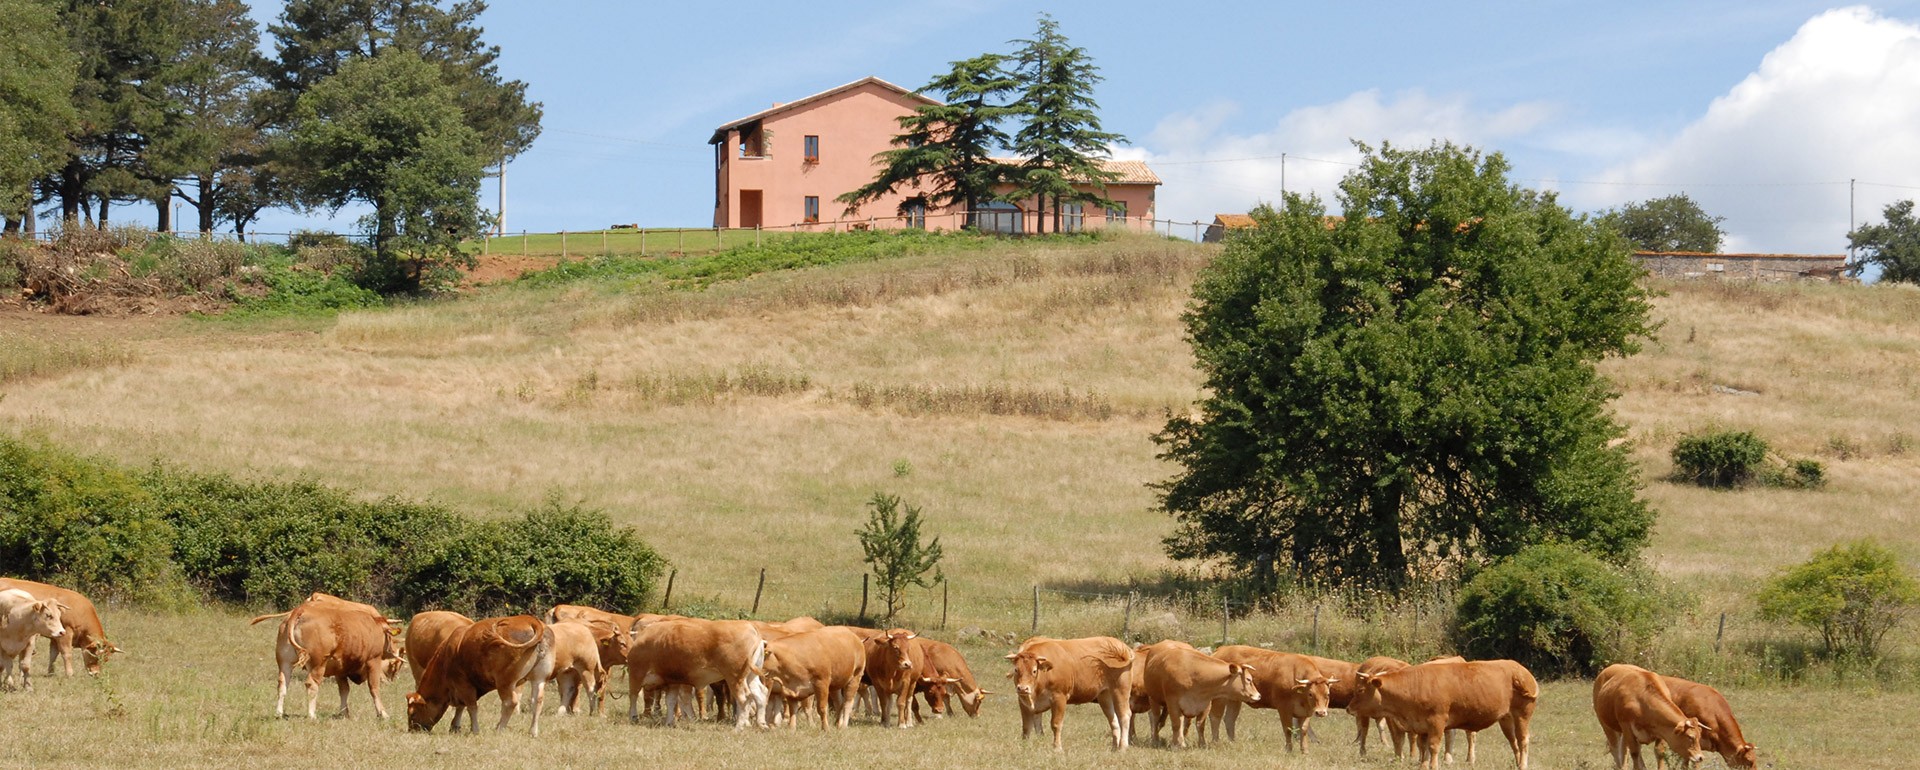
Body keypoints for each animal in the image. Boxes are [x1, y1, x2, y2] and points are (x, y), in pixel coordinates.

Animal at [249, 595, 407, 721]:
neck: (374, 625)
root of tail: (301, 610)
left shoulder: (340, 669)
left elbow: (344, 690)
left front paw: (344, 713)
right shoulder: (373, 660)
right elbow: (374, 688)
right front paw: (382, 713)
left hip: (285, 662)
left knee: (282, 684)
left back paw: (279, 713)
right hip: (318, 663)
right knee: (311, 684)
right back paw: (312, 715)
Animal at [405, 610, 552, 733]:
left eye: (412, 713)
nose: (412, 730)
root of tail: (529, 620)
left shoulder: (463, 683)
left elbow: (471, 706)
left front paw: (474, 729)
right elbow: (461, 706)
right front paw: (455, 726)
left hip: (505, 682)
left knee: (510, 703)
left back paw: (499, 729)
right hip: (539, 679)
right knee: (537, 701)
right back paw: (533, 732)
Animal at [1006, 637, 1136, 748]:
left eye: (1034, 671)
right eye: (1016, 669)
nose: (1023, 688)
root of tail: (1122, 646)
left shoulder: (1059, 698)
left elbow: (1056, 724)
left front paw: (1057, 748)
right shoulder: (1024, 702)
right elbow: (1027, 727)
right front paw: (1025, 747)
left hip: (1121, 689)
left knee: (1124, 715)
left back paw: (1122, 747)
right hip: (1105, 695)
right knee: (1113, 719)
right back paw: (1114, 747)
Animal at [1359, 652, 1536, 768]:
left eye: (1361, 690)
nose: (1352, 707)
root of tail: (1519, 671)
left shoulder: (1436, 721)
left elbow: (1432, 746)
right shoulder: (1418, 725)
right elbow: (1417, 745)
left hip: (1522, 715)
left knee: (1522, 740)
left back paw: (1522, 765)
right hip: (1506, 719)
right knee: (1513, 741)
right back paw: (1517, 762)